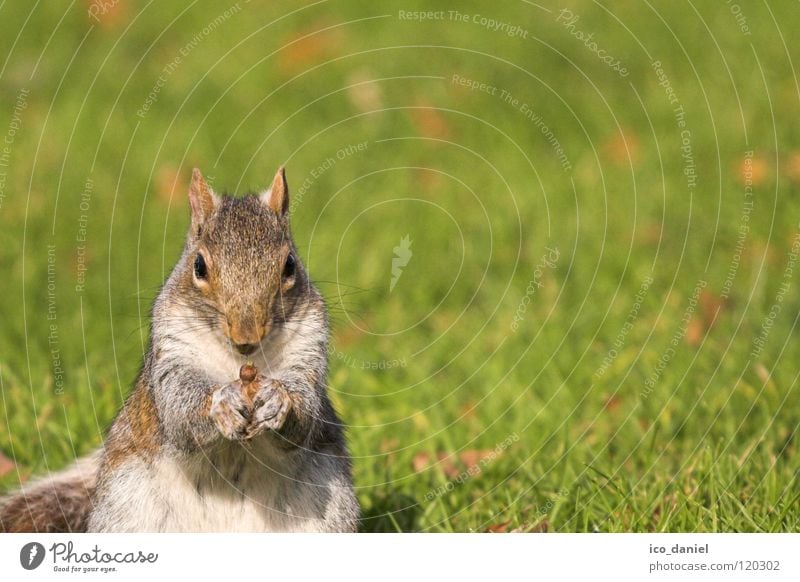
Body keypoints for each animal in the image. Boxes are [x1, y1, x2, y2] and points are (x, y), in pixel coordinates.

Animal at [0, 168, 358, 532]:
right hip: (127, 504)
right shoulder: (173, 351)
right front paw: (221, 403)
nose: (246, 335)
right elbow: (178, 408)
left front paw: (277, 400)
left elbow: (304, 411)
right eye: (198, 266)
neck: (239, 363)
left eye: (289, 266)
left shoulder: (309, 347)